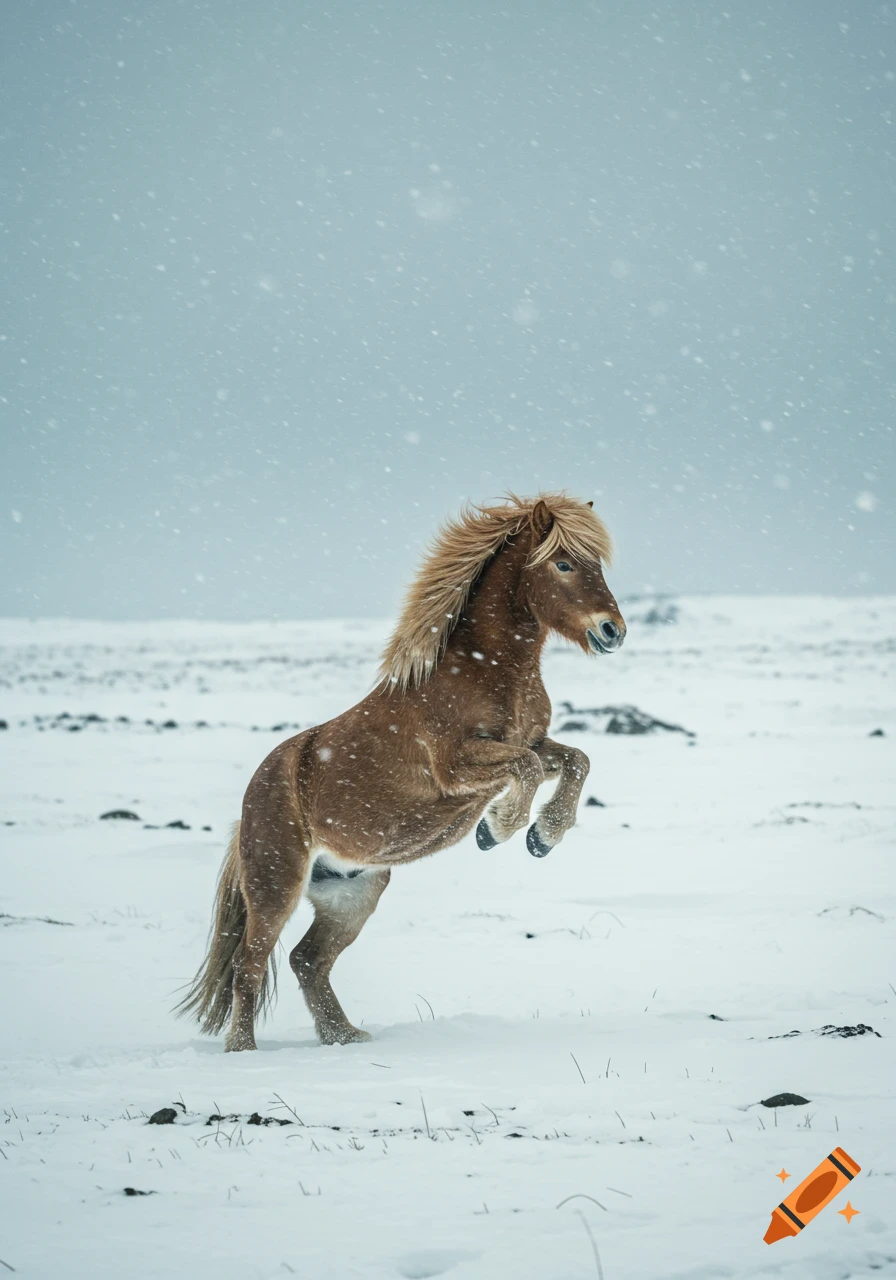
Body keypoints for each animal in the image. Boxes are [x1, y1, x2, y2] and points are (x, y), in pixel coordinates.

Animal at [177, 492, 626, 1051]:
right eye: (563, 563)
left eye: (597, 564)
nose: (613, 631)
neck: (486, 667)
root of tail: (250, 803)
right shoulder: (456, 765)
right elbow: (526, 768)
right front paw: (497, 830)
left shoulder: (535, 742)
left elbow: (576, 760)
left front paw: (541, 837)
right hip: (276, 884)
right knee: (250, 963)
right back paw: (245, 1051)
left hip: (352, 892)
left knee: (307, 960)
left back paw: (345, 1036)